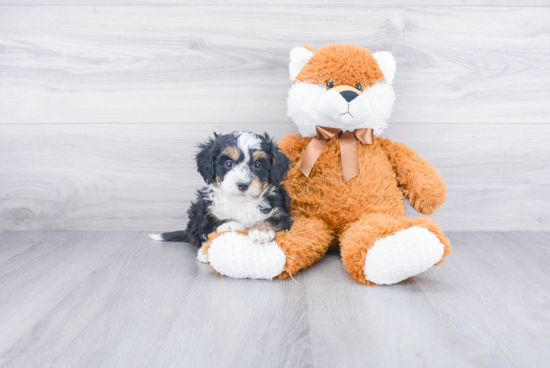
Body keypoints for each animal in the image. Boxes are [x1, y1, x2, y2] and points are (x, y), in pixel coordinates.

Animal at [147, 131, 294, 260]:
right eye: (228, 164)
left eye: (257, 165)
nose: (242, 185)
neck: (241, 203)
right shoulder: (205, 211)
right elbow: (212, 222)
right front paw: (230, 224)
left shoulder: (282, 213)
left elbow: (272, 219)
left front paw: (261, 230)